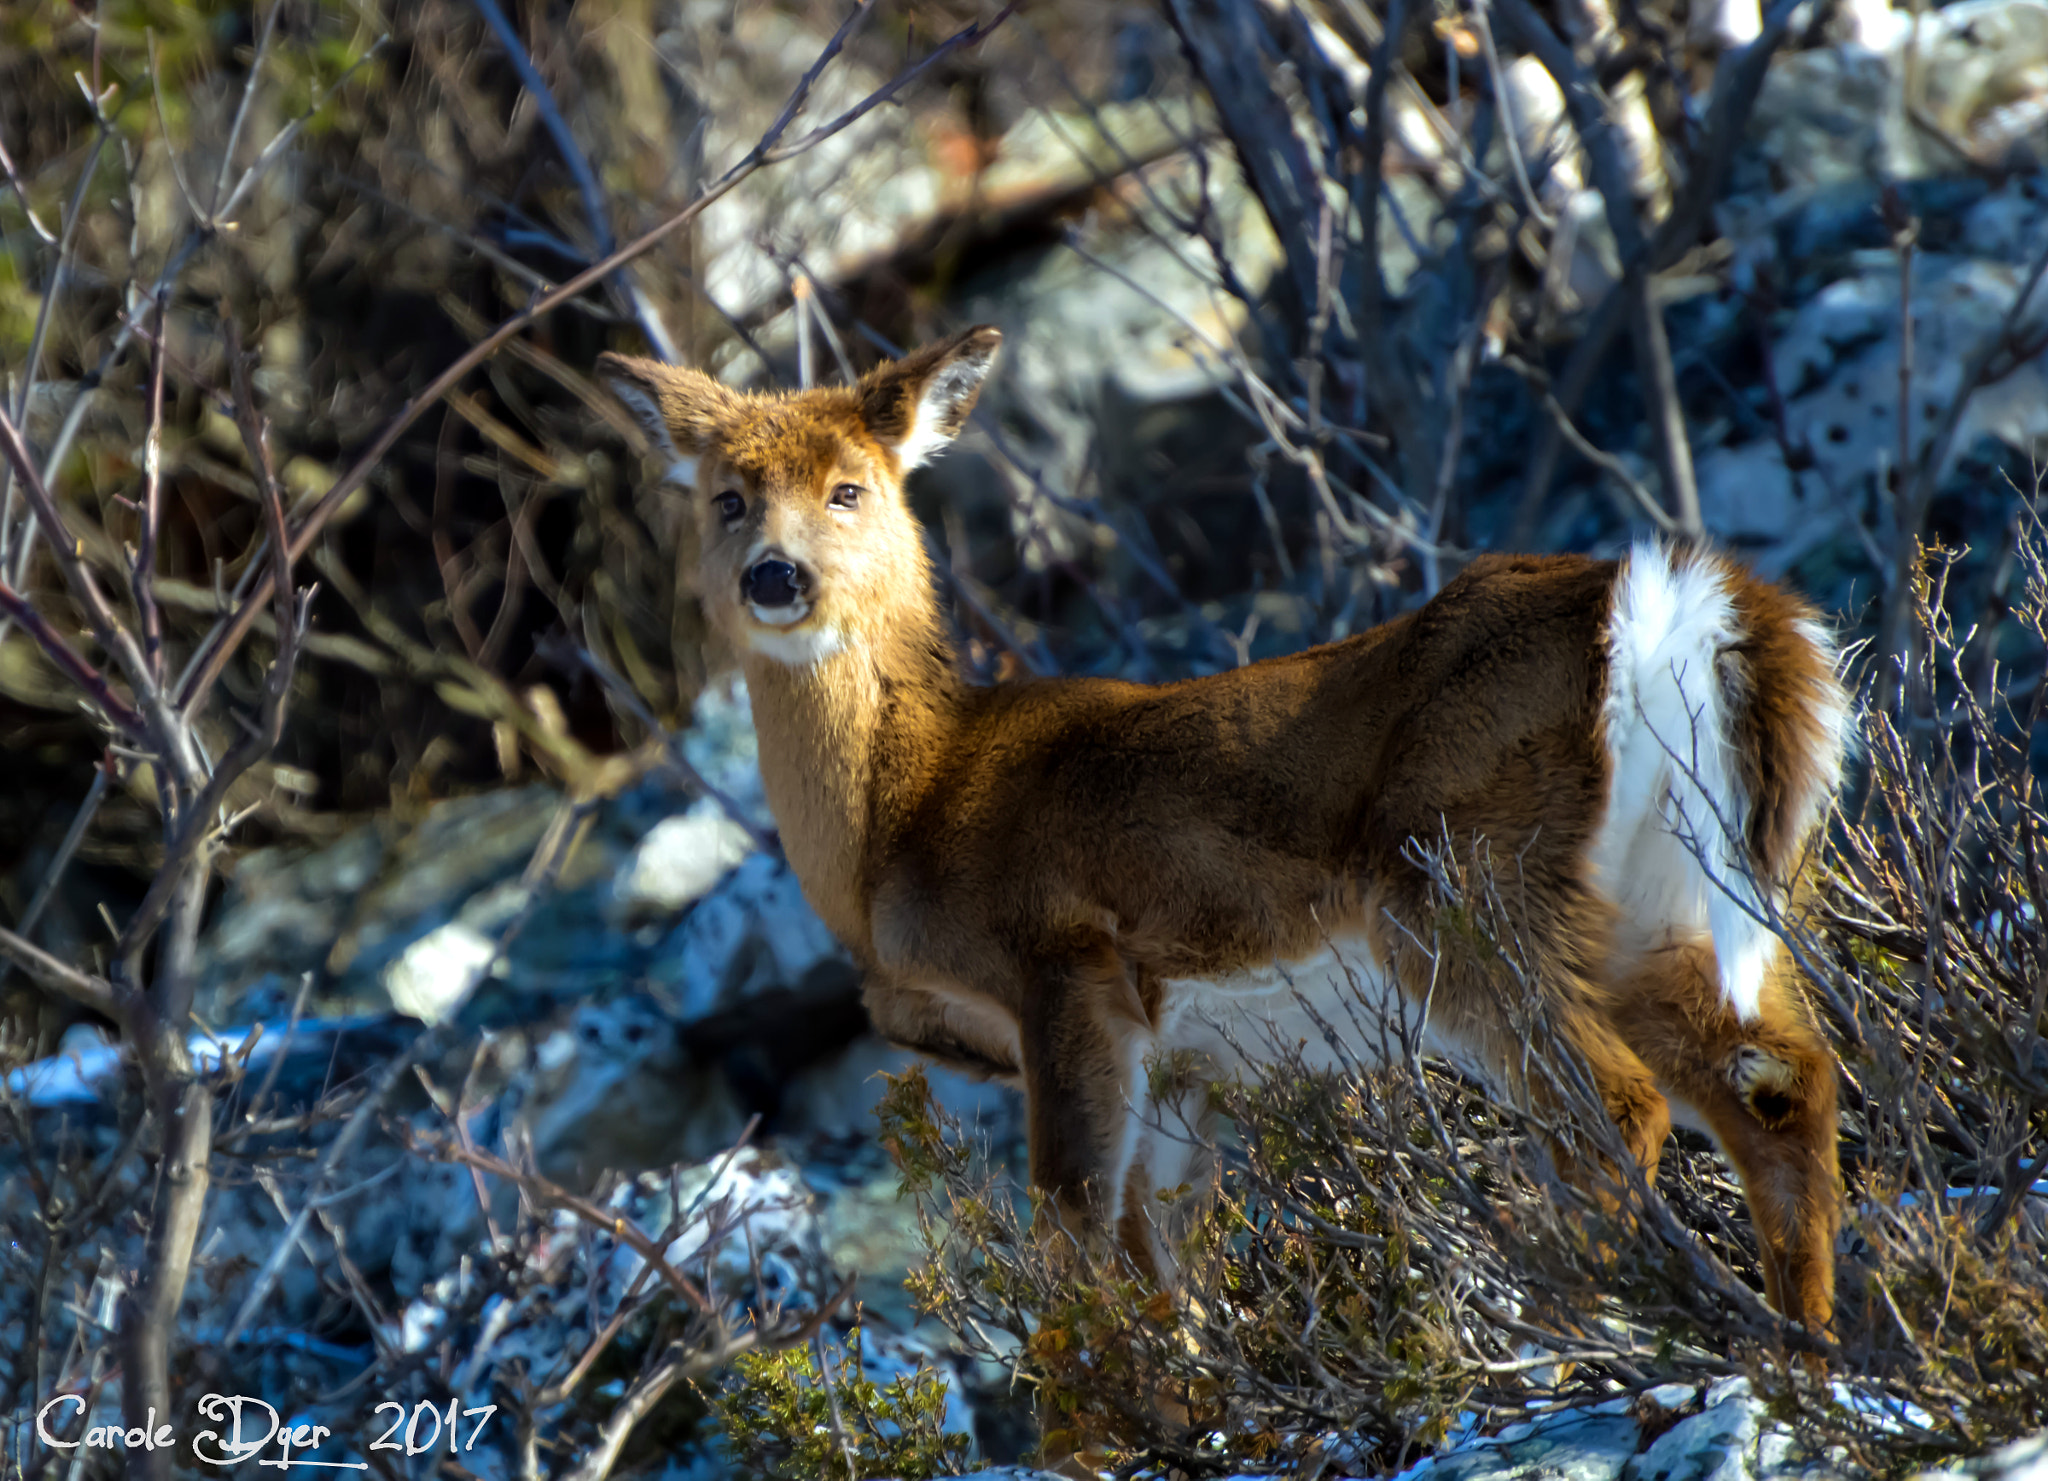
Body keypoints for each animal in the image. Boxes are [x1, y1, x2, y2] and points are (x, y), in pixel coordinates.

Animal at [598, 324, 1853, 1340]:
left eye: (850, 487)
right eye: (725, 496)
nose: (775, 575)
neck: (903, 816)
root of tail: (1678, 602)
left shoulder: (1064, 965)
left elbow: (1072, 1234)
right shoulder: (1183, 1062)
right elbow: (1169, 1259)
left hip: (1454, 883)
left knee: (1616, 1104)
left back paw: (1575, 1325)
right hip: (1675, 898)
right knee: (1780, 1081)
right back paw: (1808, 1347)